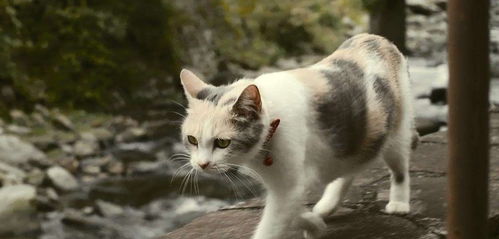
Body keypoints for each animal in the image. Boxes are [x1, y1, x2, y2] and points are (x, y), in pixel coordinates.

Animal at [179, 34, 414, 239]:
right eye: (192, 140)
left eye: (222, 142)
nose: (202, 164)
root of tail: (375, 38)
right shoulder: (286, 184)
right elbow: (292, 209)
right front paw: (314, 224)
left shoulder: (289, 183)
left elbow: (276, 221)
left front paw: (310, 224)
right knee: (351, 164)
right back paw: (327, 205)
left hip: (397, 130)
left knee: (399, 167)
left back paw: (399, 204)